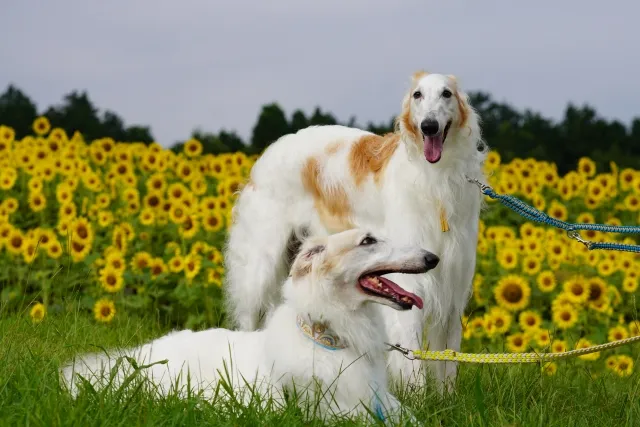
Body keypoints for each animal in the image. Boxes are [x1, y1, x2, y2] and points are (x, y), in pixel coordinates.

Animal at [61, 229, 440, 422]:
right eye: (368, 241)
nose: (432, 258)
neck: (330, 338)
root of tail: (132, 359)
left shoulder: (386, 403)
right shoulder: (333, 411)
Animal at [226, 72, 490, 392]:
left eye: (446, 93)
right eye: (417, 95)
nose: (429, 126)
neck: (437, 182)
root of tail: (271, 150)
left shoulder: (453, 284)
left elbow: (448, 361)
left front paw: (446, 398)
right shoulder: (411, 280)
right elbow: (412, 357)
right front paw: (416, 397)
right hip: (259, 270)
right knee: (248, 319)